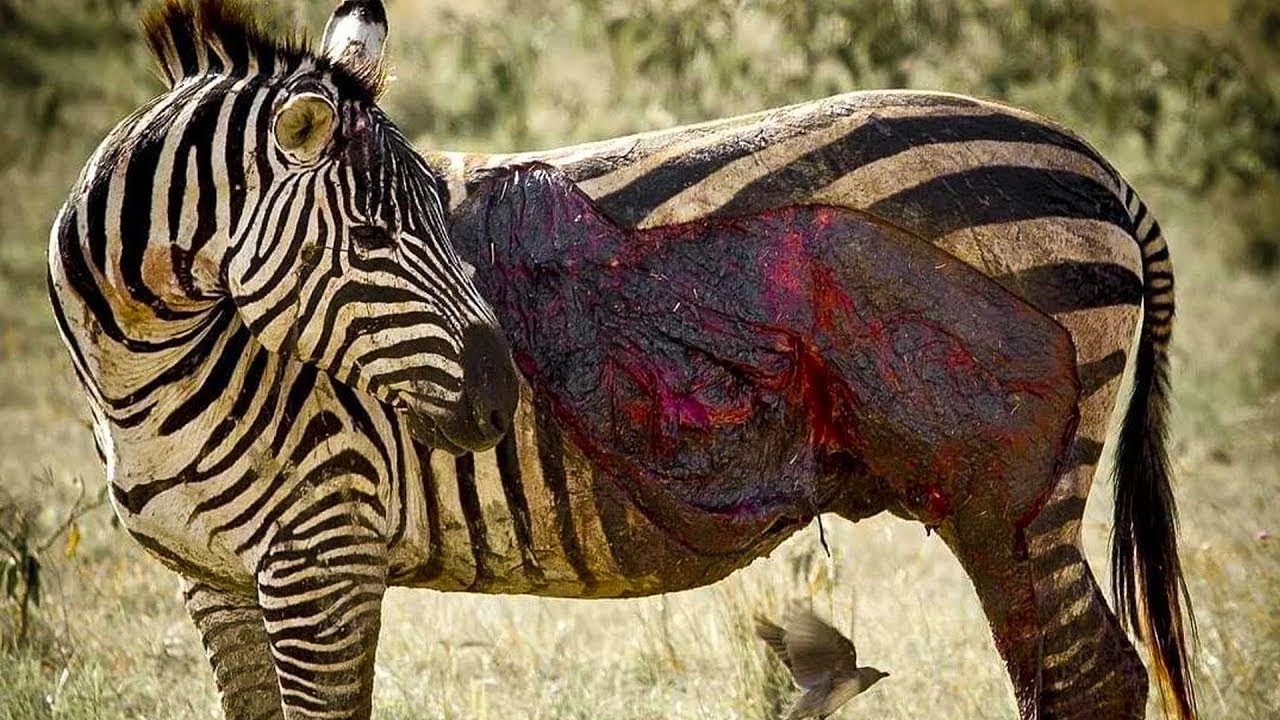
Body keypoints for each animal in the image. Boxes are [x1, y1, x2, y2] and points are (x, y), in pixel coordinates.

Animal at [48, 0, 518, 717]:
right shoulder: (213, 578)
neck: (133, 390)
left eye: (446, 212)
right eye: (371, 237)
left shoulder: (328, 558)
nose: (503, 397)